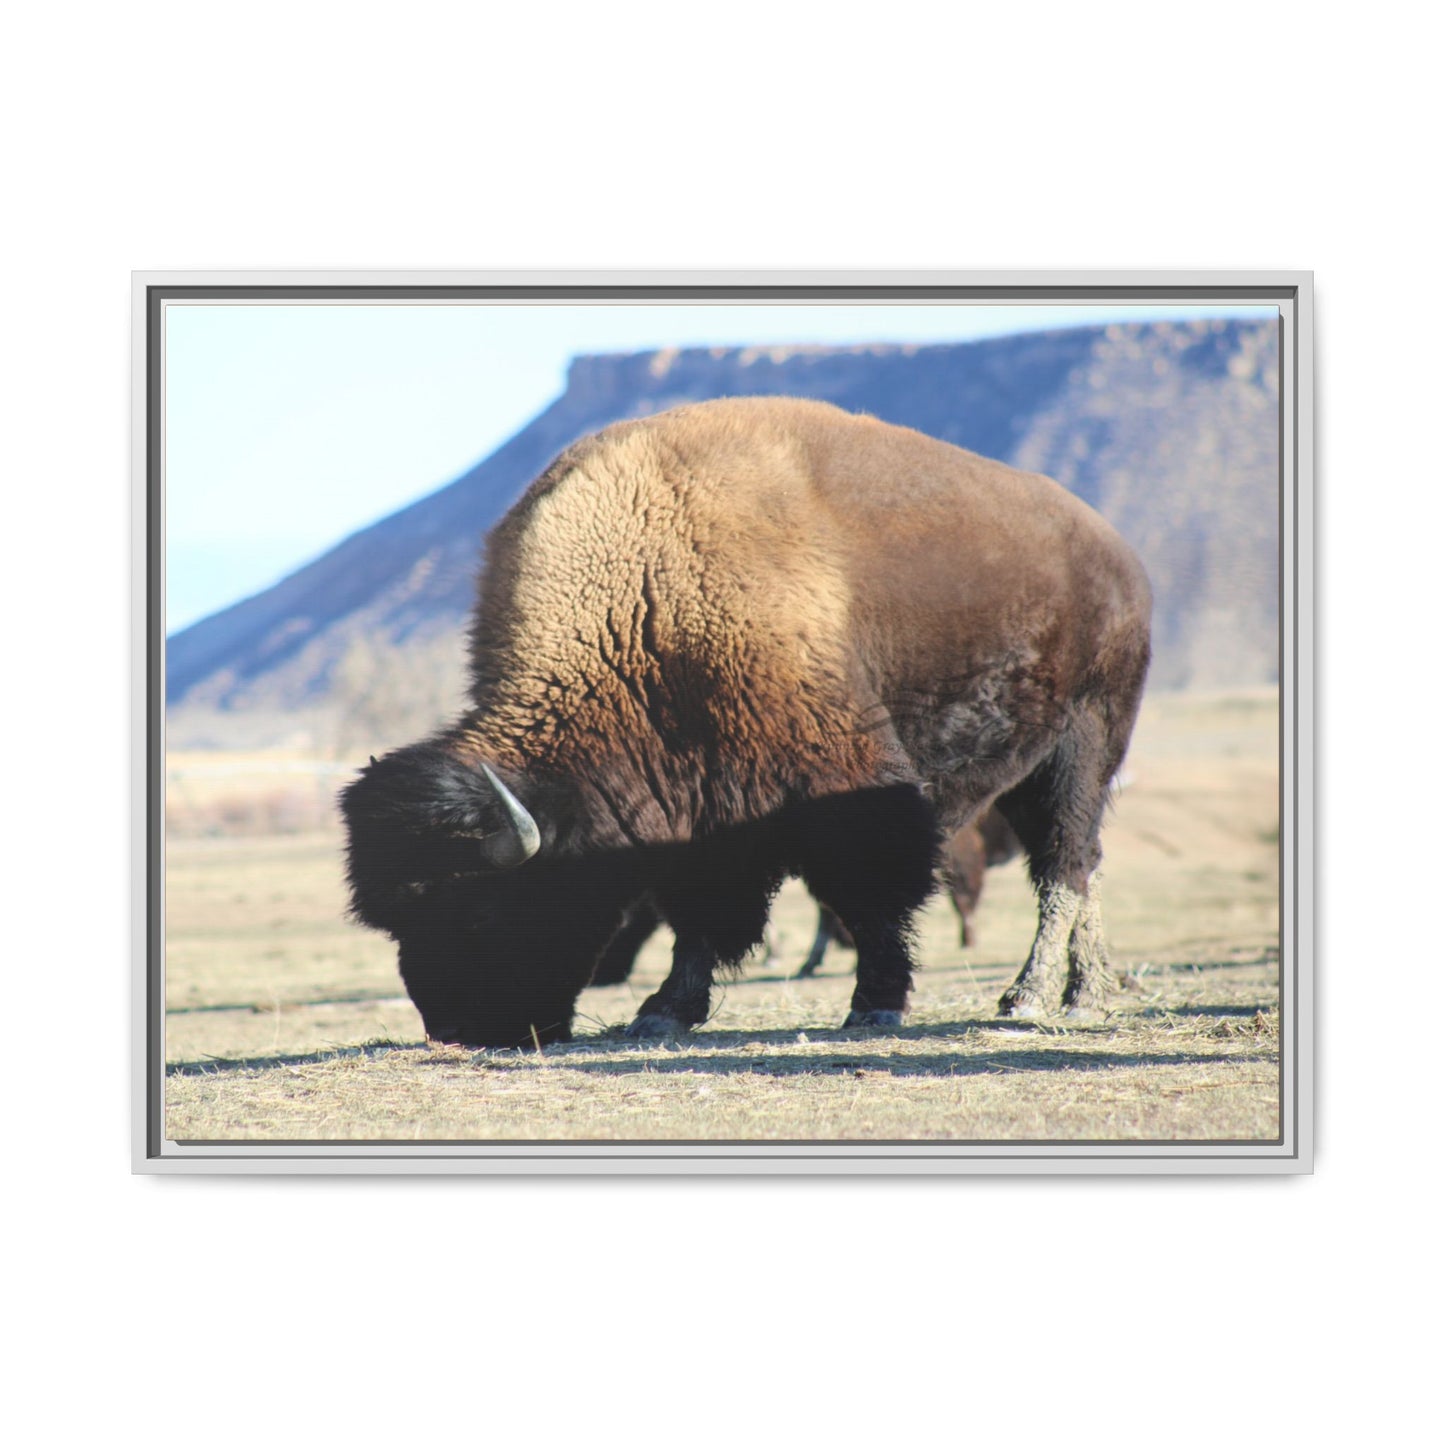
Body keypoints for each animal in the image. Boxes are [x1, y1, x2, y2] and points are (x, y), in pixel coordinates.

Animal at [341, 397, 1151, 1046]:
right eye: (397, 922)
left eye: (478, 909)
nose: (458, 1029)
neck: (644, 601)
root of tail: (1116, 553)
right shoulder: (700, 810)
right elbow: (700, 913)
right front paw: (662, 1011)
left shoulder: (844, 784)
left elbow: (871, 893)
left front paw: (875, 1005)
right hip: (1027, 768)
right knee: (1078, 864)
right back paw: (1086, 990)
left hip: (1085, 742)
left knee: (1064, 862)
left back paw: (1035, 997)